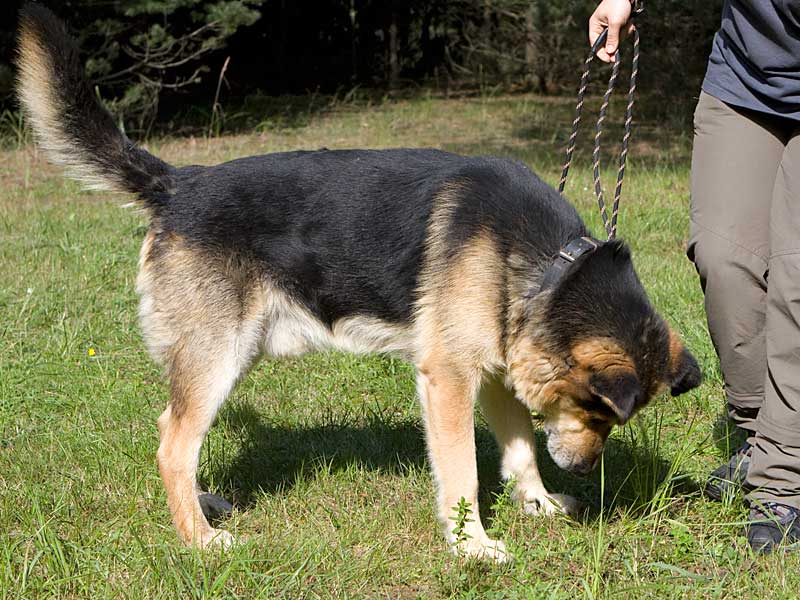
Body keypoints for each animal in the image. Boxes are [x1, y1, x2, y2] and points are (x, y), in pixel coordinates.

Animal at [16, 4, 701, 561]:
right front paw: (471, 545)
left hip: (224, 358)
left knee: (180, 438)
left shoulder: (493, 372)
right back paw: (199, 539)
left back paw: (203, 507)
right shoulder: (448, 380)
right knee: (171, 444)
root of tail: (179, 184)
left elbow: (521, 449)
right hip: (218, 357)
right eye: (596, 410)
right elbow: (463, 473)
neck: (549, 266)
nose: (585, 473)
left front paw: (538, 505)